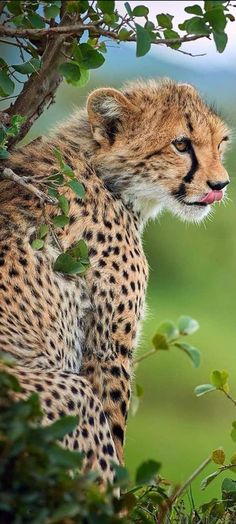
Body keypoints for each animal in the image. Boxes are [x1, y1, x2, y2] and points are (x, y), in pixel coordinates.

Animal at [0, 80, 229, 482]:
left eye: (221, 143)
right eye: (181, 144)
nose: (221, 184)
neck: (105, 175)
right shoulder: (107, 351)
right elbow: (115, 429)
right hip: (63, 393)